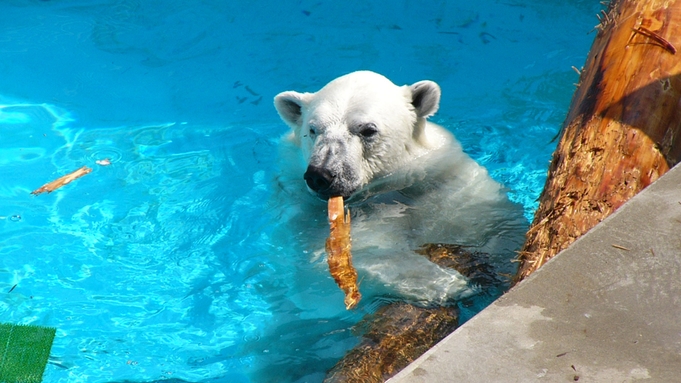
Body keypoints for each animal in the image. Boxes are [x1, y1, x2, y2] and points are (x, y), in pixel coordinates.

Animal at [272, 71, 524, 306]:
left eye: (368, 130)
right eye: (313, 130)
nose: (320, 175)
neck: (394, 187)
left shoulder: (450, 185)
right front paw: (447, 283)